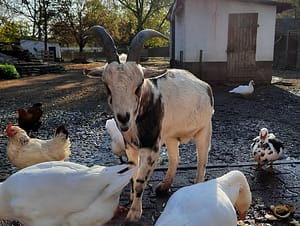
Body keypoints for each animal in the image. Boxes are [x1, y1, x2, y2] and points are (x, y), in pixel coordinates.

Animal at [85, 25, 214, 223]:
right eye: (107, 86)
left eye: (138, 86)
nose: (123, 118)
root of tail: (203, 84)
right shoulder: (130, 146)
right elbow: (132, 174)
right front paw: (131, 198)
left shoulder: (151, 146)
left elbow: (140, 181)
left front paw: (134, 214)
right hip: (170, 136)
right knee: (175, 158)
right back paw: (163, 186)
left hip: (204, 128)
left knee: (202, 161)